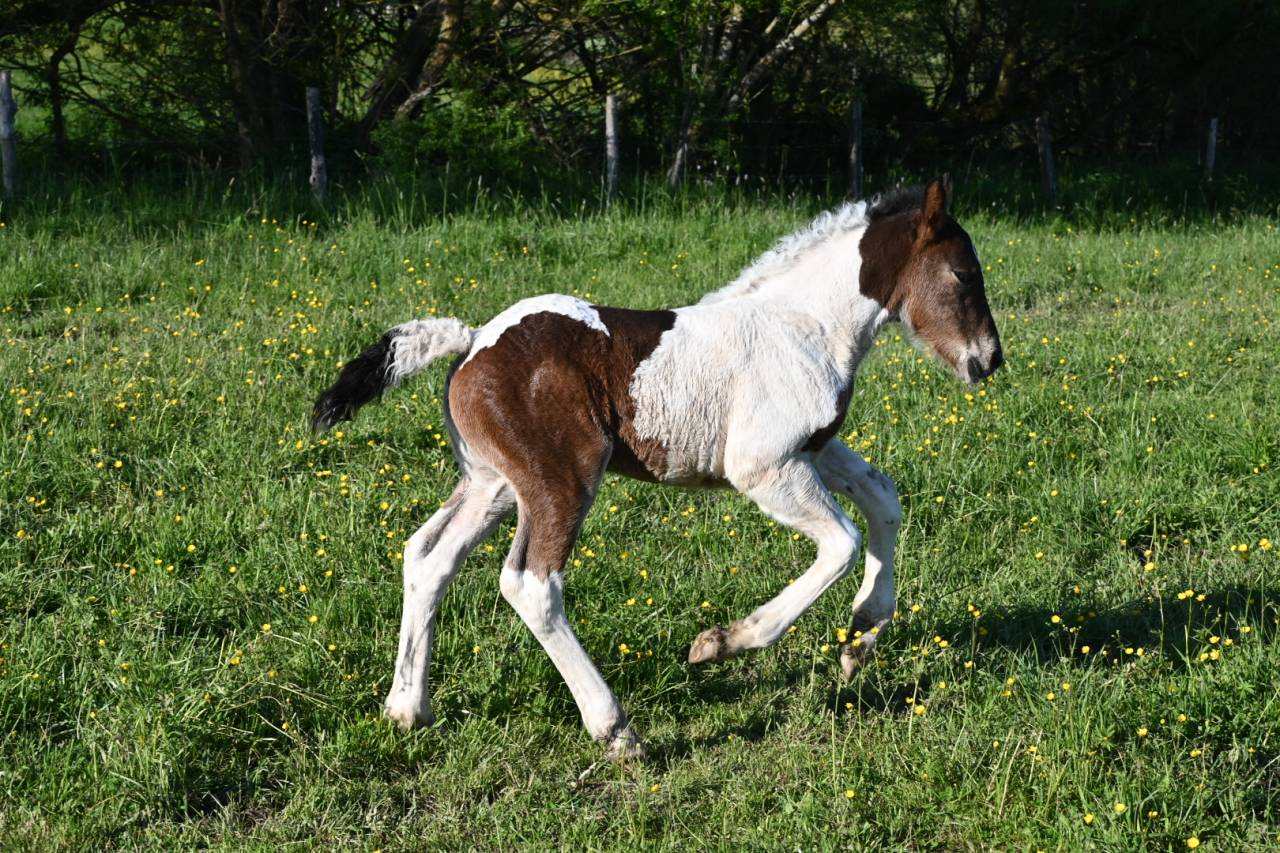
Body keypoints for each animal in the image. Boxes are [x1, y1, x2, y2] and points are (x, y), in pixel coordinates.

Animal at [312, 175, 1002, 758]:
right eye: (964, 274)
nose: (989, 360)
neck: (805, 324)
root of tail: (475, 339)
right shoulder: (766, 469)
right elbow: (841, 543)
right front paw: (722, 643)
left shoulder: (814, 450)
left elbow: (883, 500)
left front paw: (860, 639)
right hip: (560, 481)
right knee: (532, 584)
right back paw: (615, 728)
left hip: (494, 484)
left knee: (429, 557)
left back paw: (407, 709)